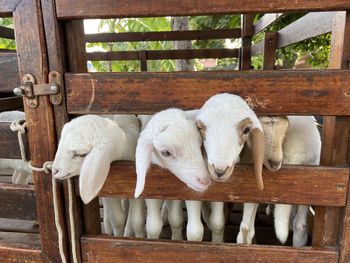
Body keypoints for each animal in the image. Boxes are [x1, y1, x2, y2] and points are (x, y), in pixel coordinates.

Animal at [134, 109, 211, 241]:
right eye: (166, 153)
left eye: (200, 145)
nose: (205, 180)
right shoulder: (151, 187)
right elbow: (153, 226)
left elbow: (183, 223)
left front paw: (177, 238)